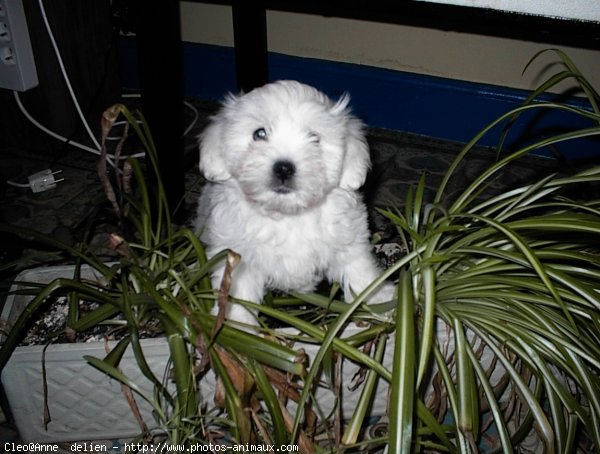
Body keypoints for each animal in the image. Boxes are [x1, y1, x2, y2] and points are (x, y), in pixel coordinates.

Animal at [196, 80, 394, 324]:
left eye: (314, 138)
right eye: (259, 134)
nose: (283, 168)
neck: (288, 213)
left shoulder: (347, 239)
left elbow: (358, 269)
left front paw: (378, 301)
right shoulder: (237, 254)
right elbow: (237, 291)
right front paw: (237, 323)